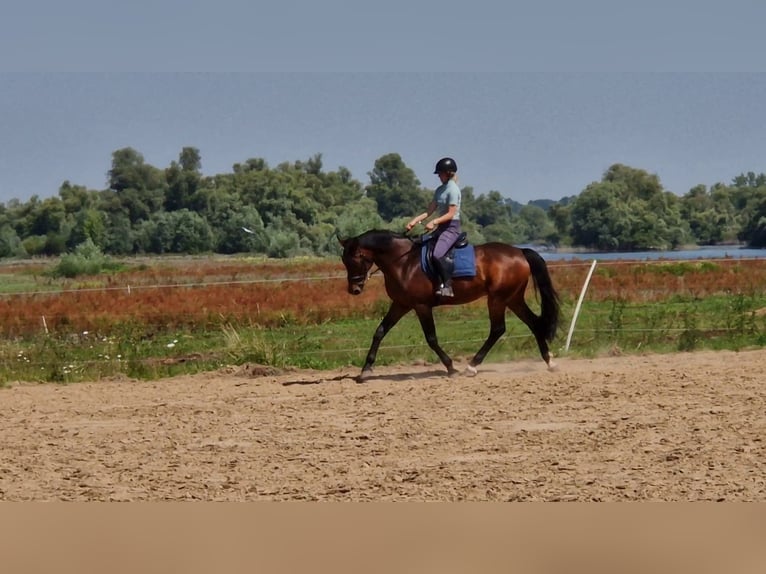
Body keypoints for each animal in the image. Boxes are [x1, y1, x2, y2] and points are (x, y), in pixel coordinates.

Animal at [340, 228, 560, 382]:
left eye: (355, 258)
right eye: (344, 260)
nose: (354, 289)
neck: (404, 262)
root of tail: (520, 252)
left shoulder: (421, 306)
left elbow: (431, 338)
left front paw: (451, 368)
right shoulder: (401, 304)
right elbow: (380, 331)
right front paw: (365, 370)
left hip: (498, 299)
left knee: (498, 329)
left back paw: (472, 366)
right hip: (513, 298)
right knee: (534, 323)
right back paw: (549, 361)